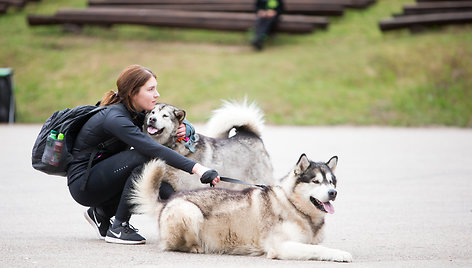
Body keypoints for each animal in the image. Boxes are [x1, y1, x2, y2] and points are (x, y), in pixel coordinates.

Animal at [131, 154, 352, 262]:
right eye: (316, 181)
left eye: (332, 182)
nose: (333, 193)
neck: (294, 205)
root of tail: (167, 201)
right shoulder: (280, 246)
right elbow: (318, 249)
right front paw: (340, 254)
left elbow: (317, 245)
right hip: (190, 211)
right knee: (174, 245)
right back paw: (196, 247)